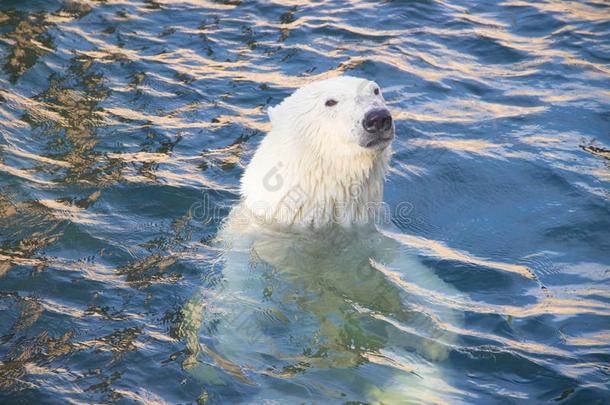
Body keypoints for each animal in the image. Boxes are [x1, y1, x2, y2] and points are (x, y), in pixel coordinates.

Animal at [180, 77, 460, 402]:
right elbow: (238, 298)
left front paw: (437, 334)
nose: (377, 118)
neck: (317, 216)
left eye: (375, 90)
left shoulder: (368, 233)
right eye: (330, 101)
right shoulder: (254, 239)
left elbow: (420, 278)